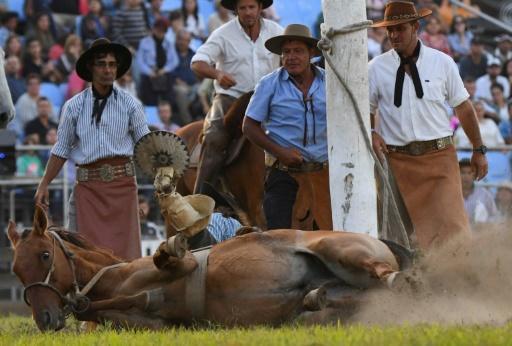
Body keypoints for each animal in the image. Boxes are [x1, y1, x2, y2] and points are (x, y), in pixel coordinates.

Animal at [8, 204, 412, 332]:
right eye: (15, 270)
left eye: (44, 256)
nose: (45, 319)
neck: (111, 278)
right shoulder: (153, 325)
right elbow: (102, 306)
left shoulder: (178, 270)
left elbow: (172, 263)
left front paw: (170, 248)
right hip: (342, 299)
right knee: (352, 297)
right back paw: (316, 295)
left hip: (341, 251)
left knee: (392, 279)